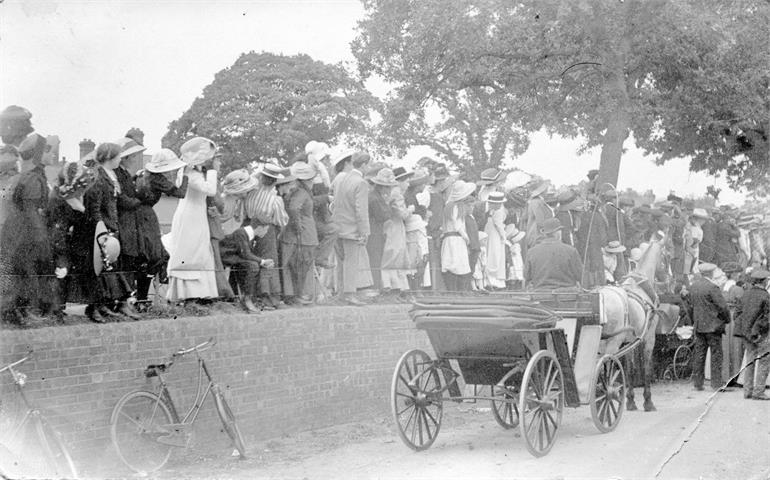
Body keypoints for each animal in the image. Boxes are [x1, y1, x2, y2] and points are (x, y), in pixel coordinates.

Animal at [592, 231, 664, 410]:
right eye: (665, 256)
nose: (668, 277)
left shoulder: (630, 341)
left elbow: (630, 369)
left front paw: (631, 401)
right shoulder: (649, 337)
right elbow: (646, 369)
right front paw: (648, 401)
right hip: (612, 342)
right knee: (604, 367)